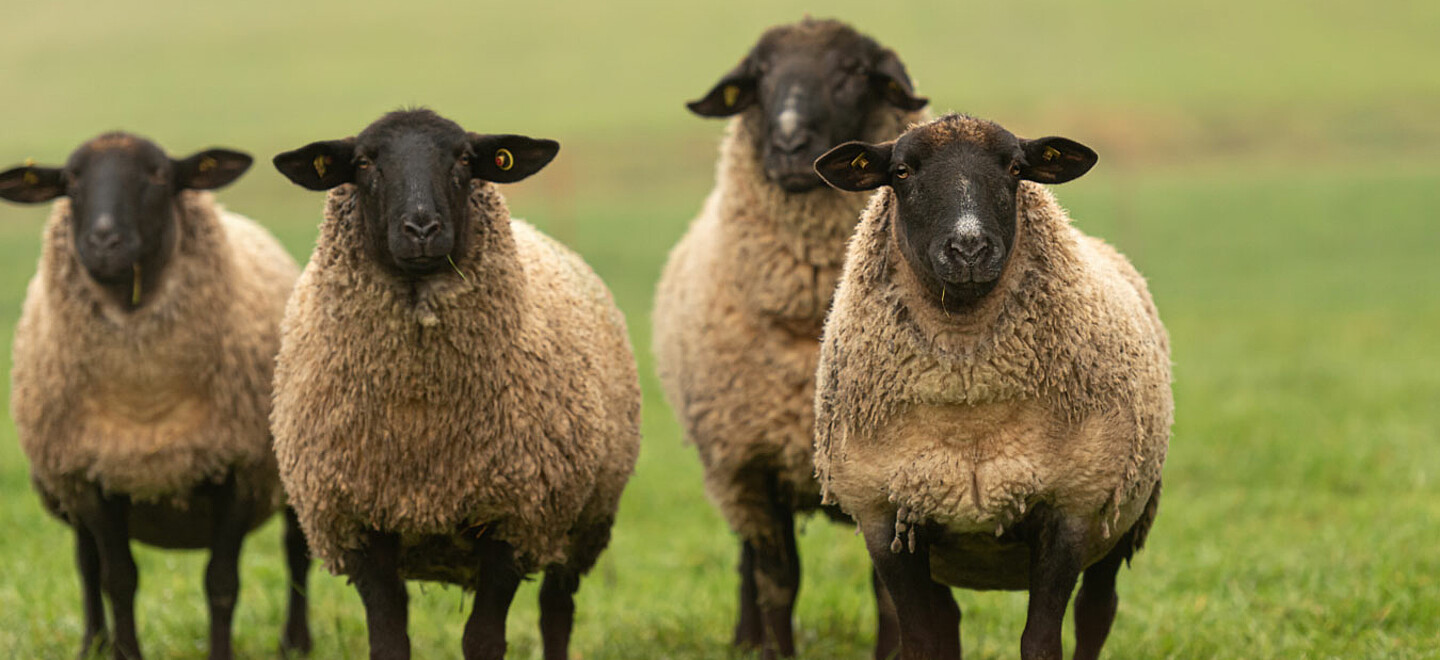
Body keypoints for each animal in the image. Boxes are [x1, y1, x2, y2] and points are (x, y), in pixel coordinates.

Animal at [0, 134, 313, 660]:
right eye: (70, 181)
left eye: (160, 176)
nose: (104, 241)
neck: (146, 402)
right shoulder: (90, 475)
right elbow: (117, 579)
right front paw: (124, 651)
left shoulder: (239, 469)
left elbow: (221, 582)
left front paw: (221, 653)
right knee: (86, 564)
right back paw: (92, 643)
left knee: (297, 552)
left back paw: (297, 642)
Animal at [270, 108, 642, 660]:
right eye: (364, 162)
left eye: (465, 160)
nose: (422, 228)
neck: (421, 413)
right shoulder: (358, 521)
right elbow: (389, 640)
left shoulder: (514, 517)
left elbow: (484, 640)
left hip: (582, 520)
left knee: (557, 611)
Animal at [656, 16, 933, 660]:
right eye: (759, 76)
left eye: (853, 71)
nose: (787, 142)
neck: (812, 326)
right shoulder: (749, 466)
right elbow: (777, 581)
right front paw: (772, 649)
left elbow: (890, 591)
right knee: (748, 564)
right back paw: (743, 639)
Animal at [817, 114, 1175, 660]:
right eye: (901, 171)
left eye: (1014, 168)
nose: (968, 248)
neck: (970, 409)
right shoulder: (884, 517)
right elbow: (921, 640)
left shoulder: (1071, 508)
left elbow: (1042, 642)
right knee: (941, 624)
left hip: (1124, 516)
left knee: (1097, 613)